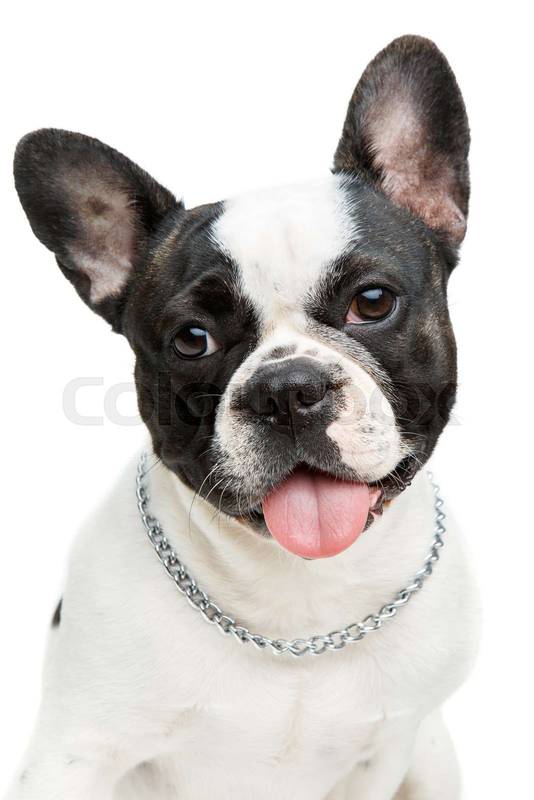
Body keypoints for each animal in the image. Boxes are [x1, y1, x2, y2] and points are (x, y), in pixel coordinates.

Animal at [8, 35, 479, 800]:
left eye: (373, 302)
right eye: (192, 339)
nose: (286, 388)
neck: (298, 607)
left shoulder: (385, 751)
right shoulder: (73, 752)